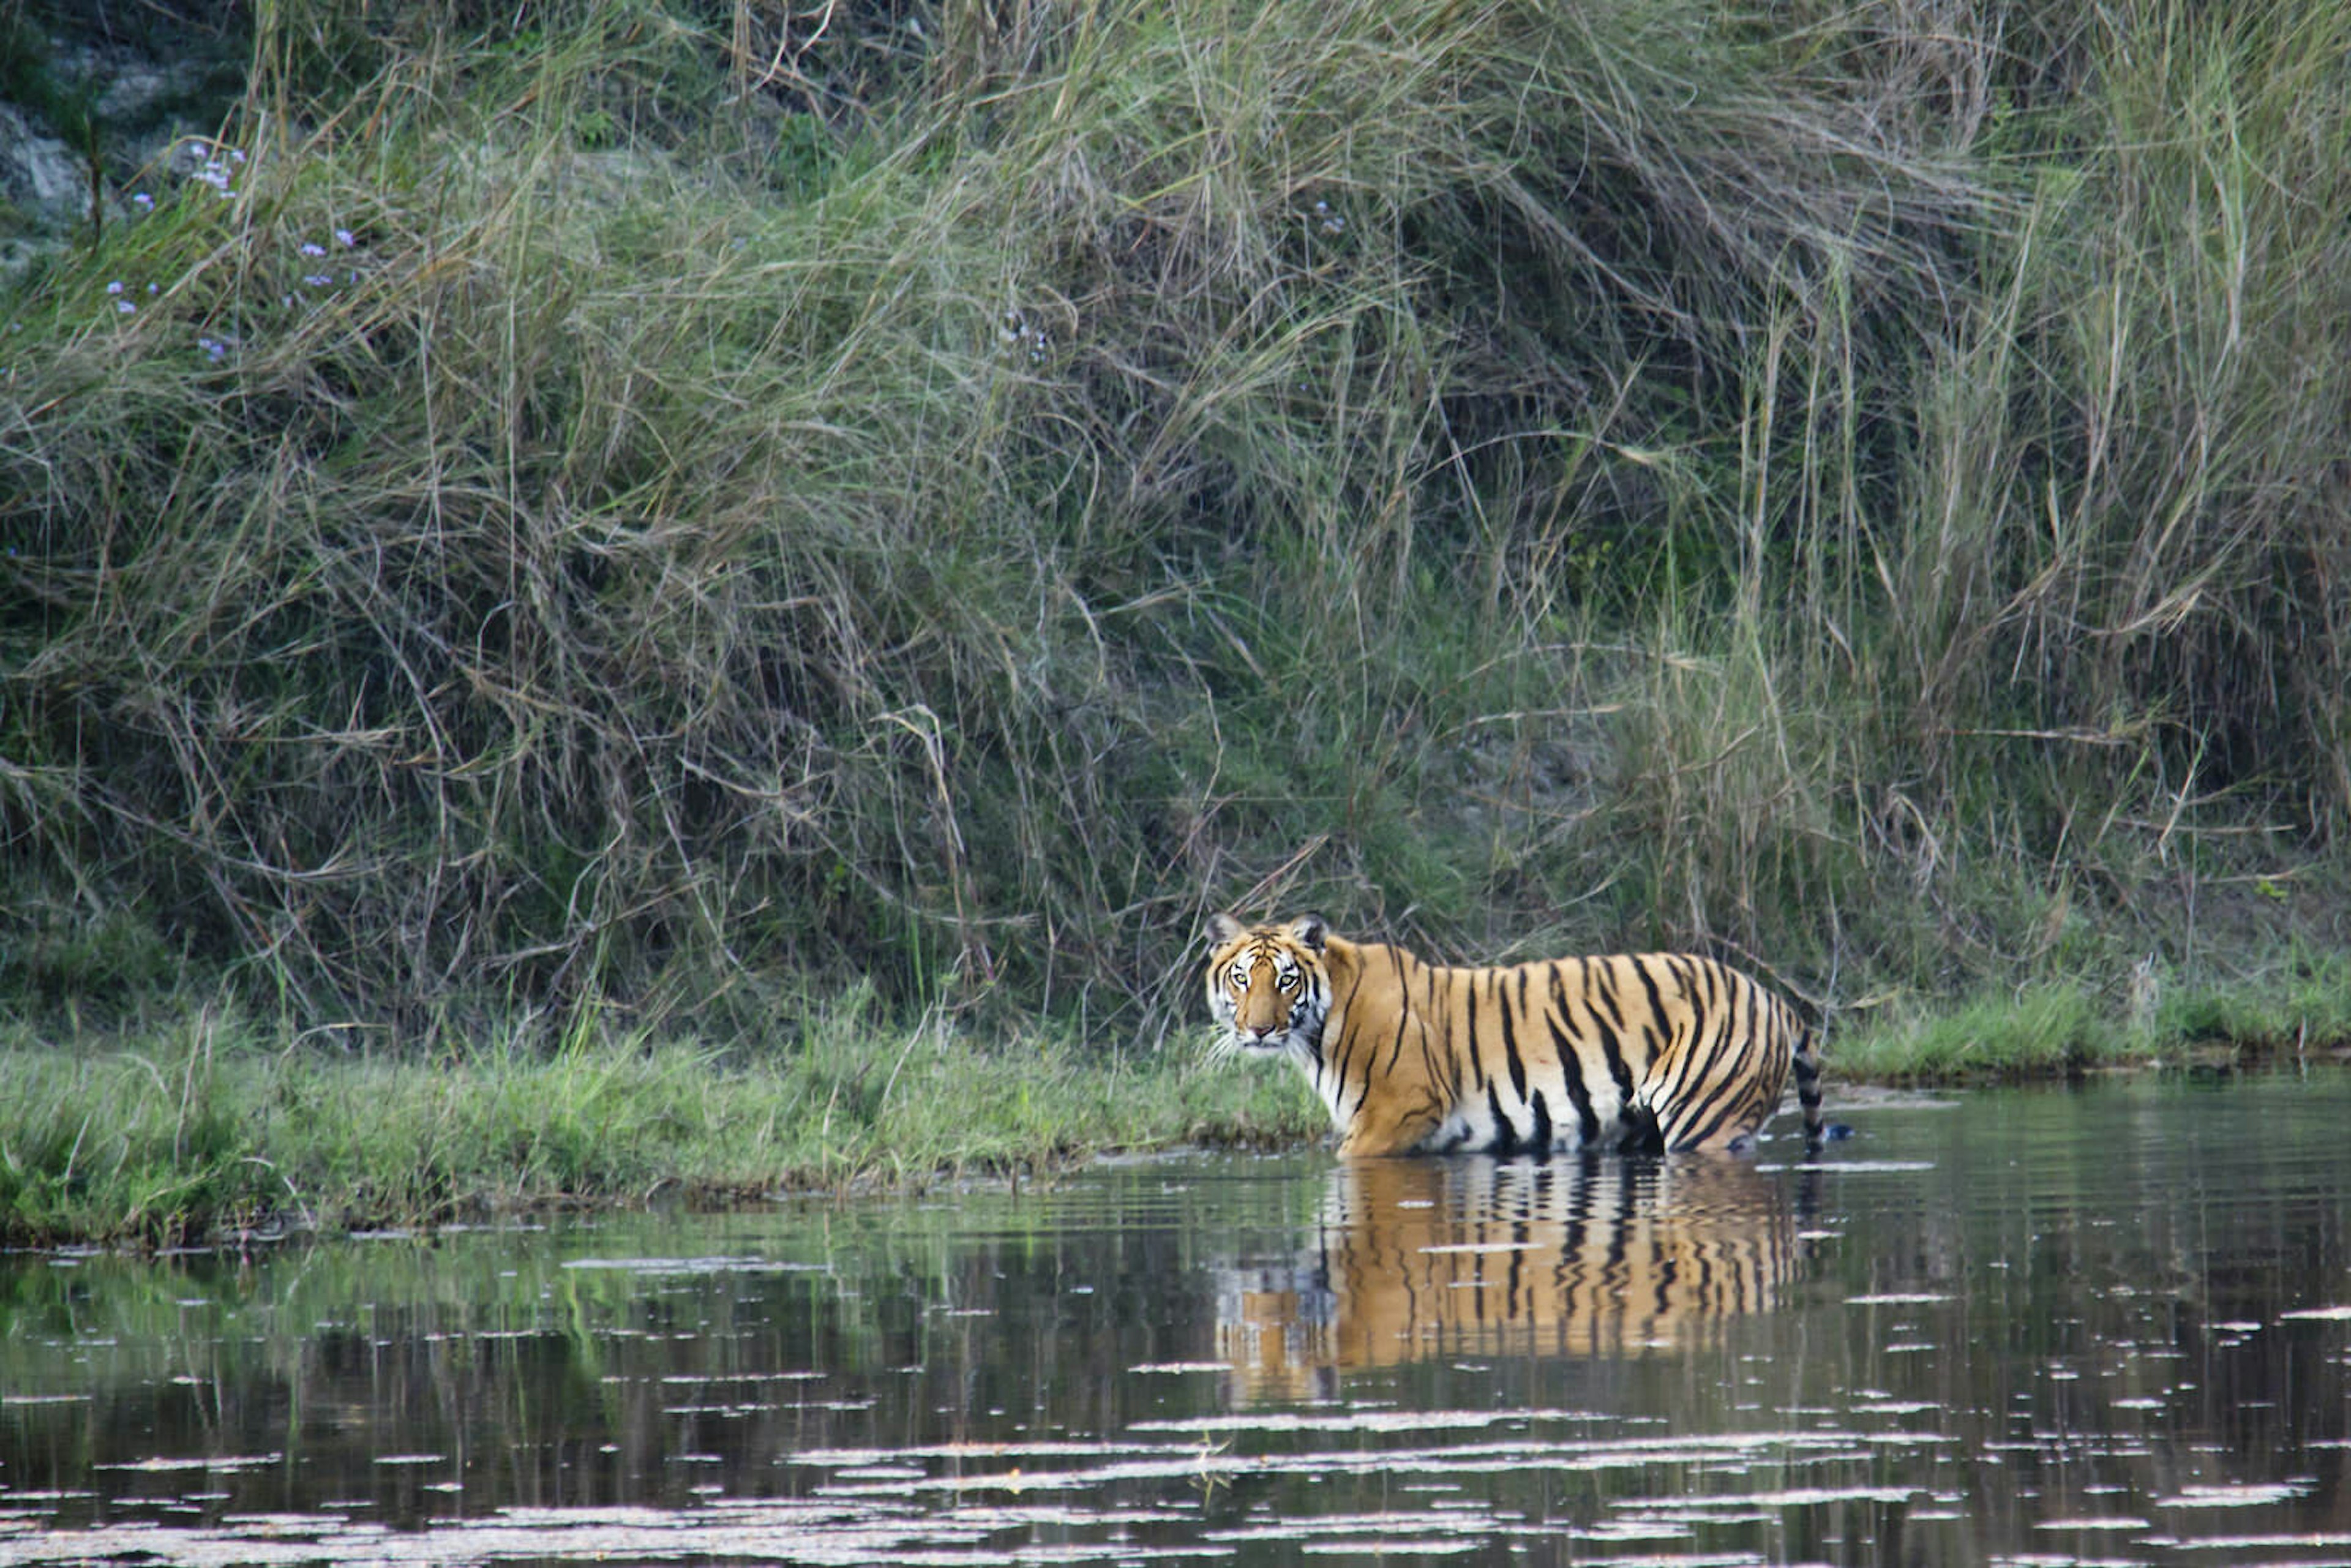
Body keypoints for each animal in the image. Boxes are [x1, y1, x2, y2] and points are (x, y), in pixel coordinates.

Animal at [1204, 912, 1824, 1161]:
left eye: (1286, 979)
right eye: (1242, 978)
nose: (1259, 1028)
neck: (1316, 1032)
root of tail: (1775, 1000)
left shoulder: (1396, 1113)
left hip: (1705, 1120)